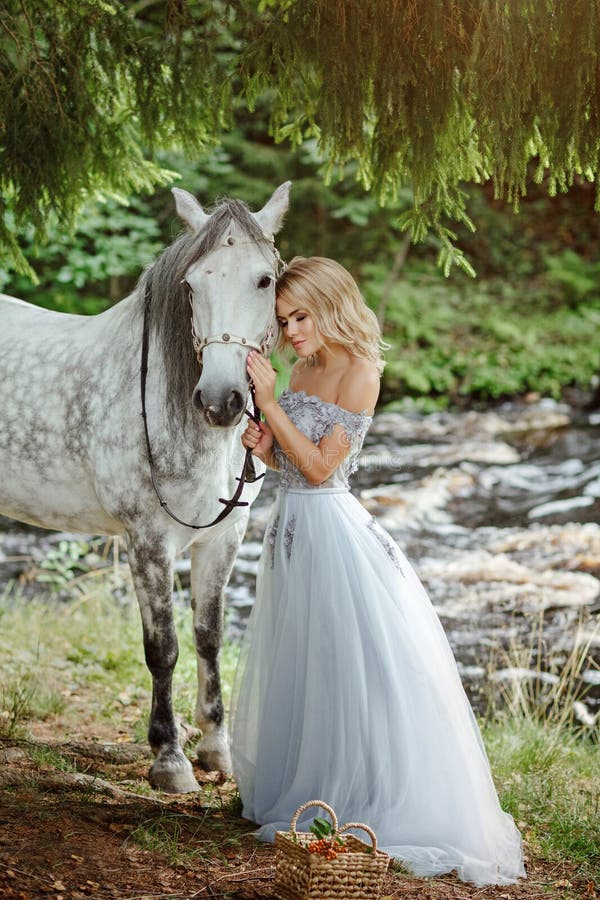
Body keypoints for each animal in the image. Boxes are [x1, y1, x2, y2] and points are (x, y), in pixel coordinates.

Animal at [0, 185, 290, 796]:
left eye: (264, 280)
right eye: (192, 284)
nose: (221, 400)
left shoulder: (223, 538)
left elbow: (209, 636)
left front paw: (216, 749)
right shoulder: (148, 543)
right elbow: (164, 649)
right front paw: (170, 760)